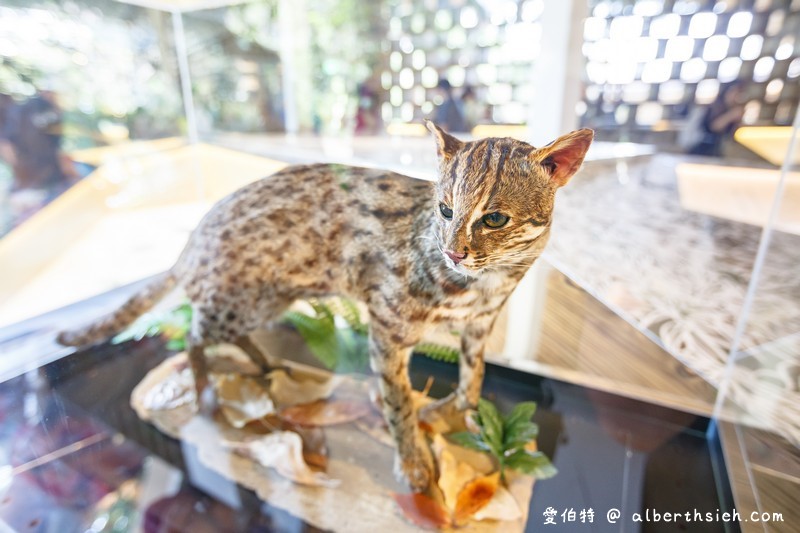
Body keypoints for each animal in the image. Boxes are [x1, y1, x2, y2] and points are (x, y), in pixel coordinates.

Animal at [57, 121, 592, 490]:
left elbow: (472, 379)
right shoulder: (387, 328)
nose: (453, 251)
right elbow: (398, 401)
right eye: (445, 210)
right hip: (239, 302)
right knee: (192, 335)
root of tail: (192, 239)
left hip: (266, 300)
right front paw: (413, 460)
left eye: (495, 218)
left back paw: (261, 362)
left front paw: (460, 415)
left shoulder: (479, 325)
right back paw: (205, 386)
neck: (487, 282)